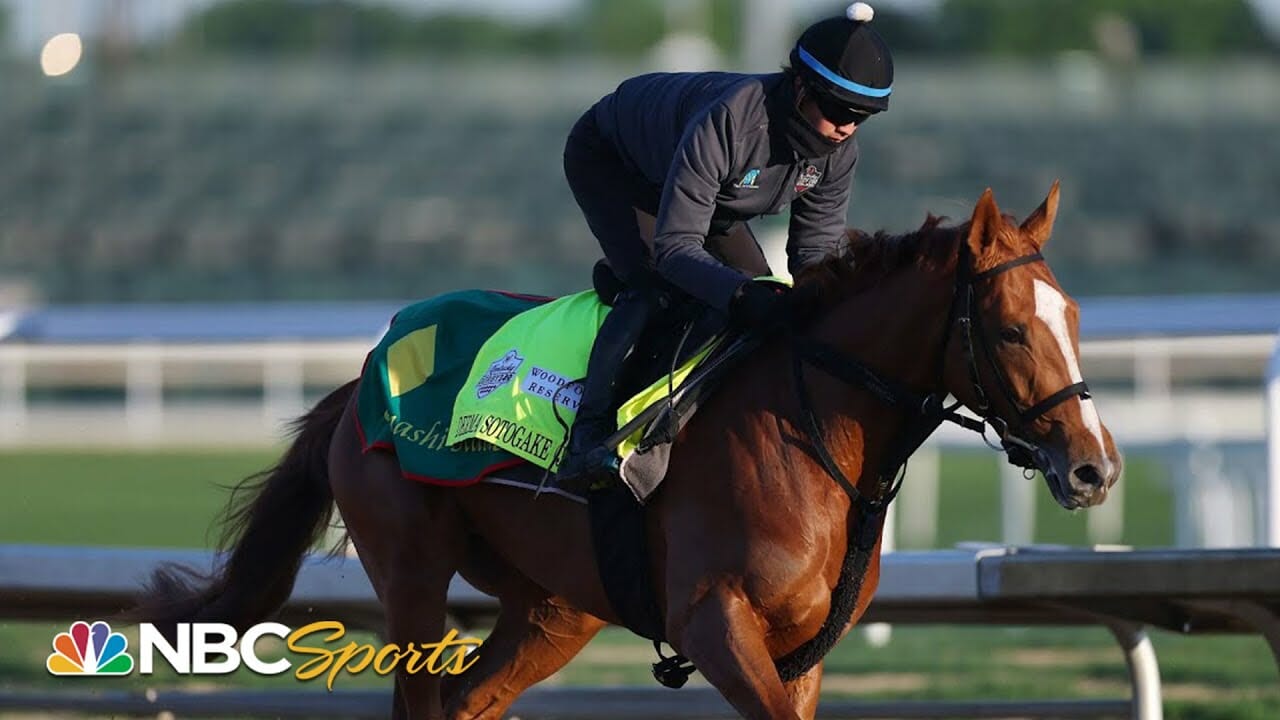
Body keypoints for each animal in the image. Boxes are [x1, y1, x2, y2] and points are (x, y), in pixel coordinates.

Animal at [132, 181, 1121, 712]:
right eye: (1008, 329)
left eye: (1075, 317)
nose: (1094, 465)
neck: (809, 436)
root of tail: (359, 385)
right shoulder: (714, 619)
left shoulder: (803, 651)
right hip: (411, 570)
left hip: (553, 606)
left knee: (468, 701)